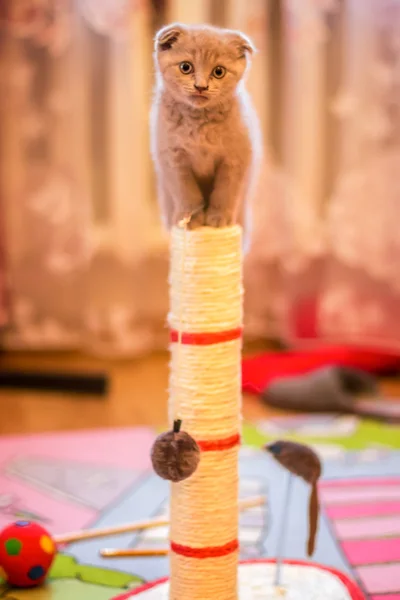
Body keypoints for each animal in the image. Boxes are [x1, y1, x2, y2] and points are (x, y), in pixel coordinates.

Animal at [150, 23, 262, 239]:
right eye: (186, 67)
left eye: (219, 71)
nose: (201, 86)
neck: (199, 123)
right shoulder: (173, 159)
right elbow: (187, 193)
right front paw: (191, 220)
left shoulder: (235, 158)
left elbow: (225, 191)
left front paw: (218, 219)